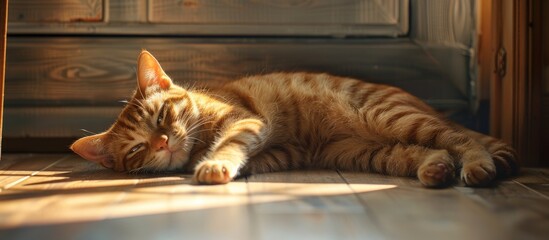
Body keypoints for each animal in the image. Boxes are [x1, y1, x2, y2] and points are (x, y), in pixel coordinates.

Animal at [69, 49, 520, 187]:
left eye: (163, 114)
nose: (162, 143)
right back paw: (437, 169)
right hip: (374, 153)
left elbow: (228, 144)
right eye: (136, 149)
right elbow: (247, 158)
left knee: (465, 140)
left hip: (392, 117)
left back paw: (478, 166)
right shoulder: (277, 153)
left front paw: (213, 164)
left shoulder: (247, 122)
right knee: (427, 152)